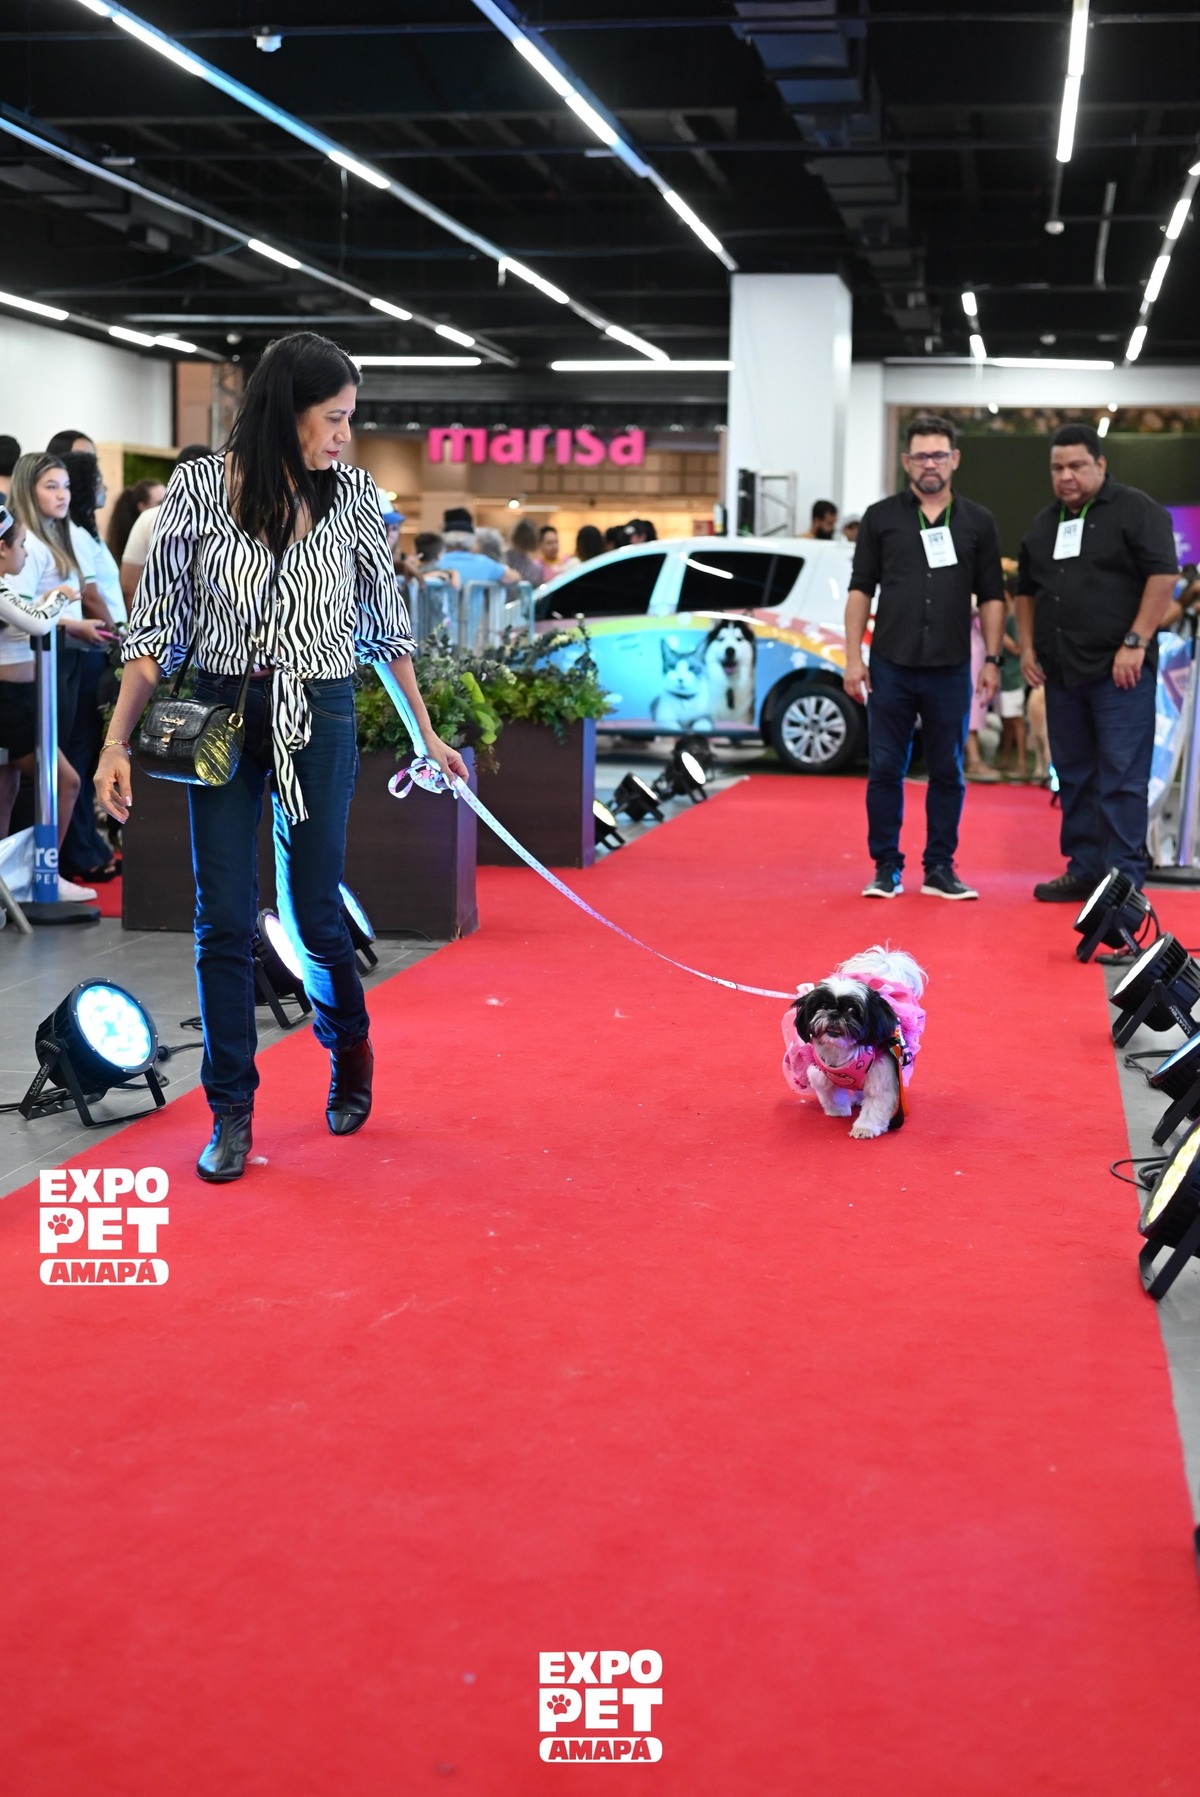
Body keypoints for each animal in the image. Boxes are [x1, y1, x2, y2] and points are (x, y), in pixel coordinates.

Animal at [781, 946, 927, 1139]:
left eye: (852, 1010)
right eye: (822, 1006)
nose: (834, 1013)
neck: (841, 1051)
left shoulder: (881, 1078)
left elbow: (874, 1106)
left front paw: (864, 1128)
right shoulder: (819, 1072)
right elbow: (829, 1091)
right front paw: (837, 1110)